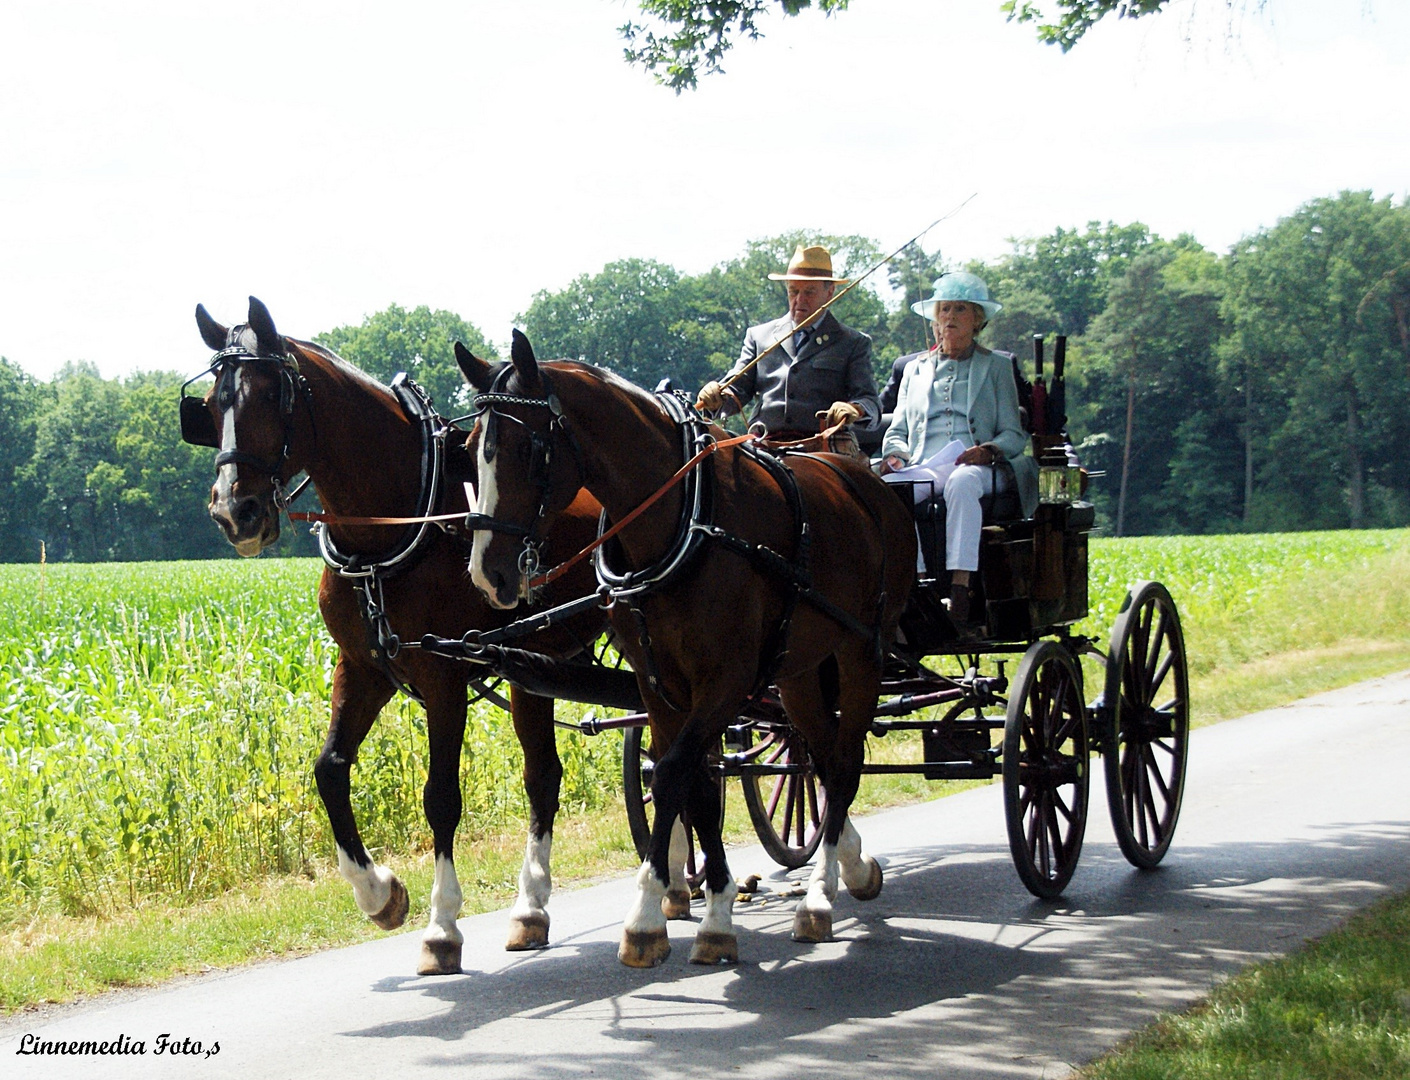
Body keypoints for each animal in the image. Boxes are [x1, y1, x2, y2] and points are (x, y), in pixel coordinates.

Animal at [186, 298, 617, 981]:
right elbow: (330, 770)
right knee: (545, 775)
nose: (235, 512)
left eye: (272, 395)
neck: (399, 519)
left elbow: (440, 797)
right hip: (535, 666)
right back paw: (531, 908)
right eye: (210, 404)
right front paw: (380, 894)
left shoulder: (443, 676)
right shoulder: (362, 667)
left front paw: (442, 928)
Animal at [451, 334, 913, 970]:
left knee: (843, 763)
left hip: (861, 651)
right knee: (819, 756)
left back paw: (820, 896)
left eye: (530, 448)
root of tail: (862, 480)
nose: (486, 573)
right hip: (798, 670)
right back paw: (851, 867)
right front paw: (713, 909)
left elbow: (673, 774)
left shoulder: (727, 679)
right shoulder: (661, 682)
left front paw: (648, 916)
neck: (684, 521)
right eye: (472, 447)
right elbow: (693, 783)